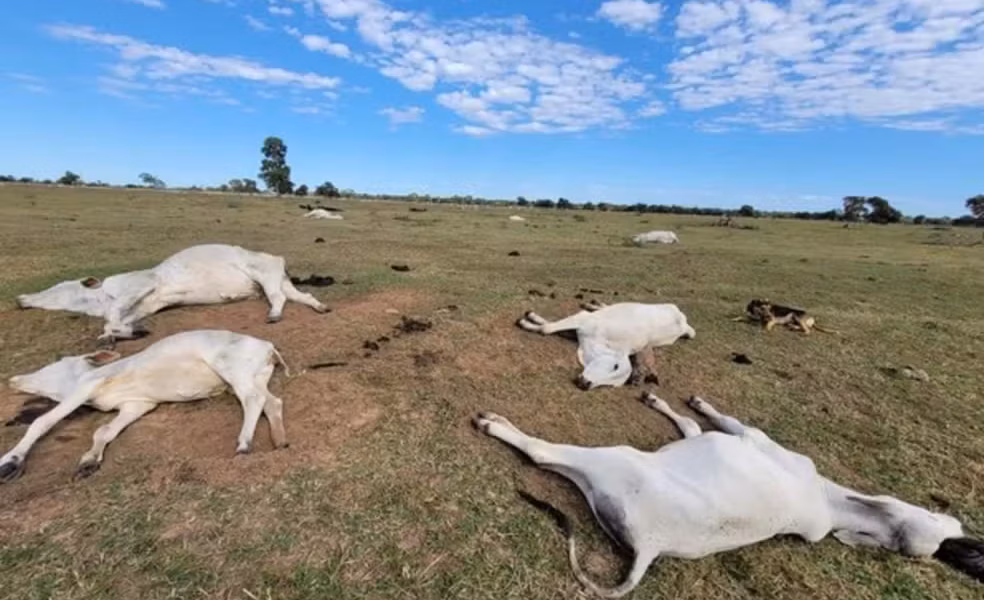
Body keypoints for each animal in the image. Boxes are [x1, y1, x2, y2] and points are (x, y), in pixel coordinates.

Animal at [2, 330, 291, 481]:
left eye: (55, 364)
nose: (14, 380)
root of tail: (267, 346)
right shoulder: (138, 404)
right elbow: (104, 431)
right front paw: (89, 461)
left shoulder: (87, 387)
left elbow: (42, 421)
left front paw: (10, 462)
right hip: (256, 376)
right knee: (271, 401)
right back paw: (279, 440)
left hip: (232, 369)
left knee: (253, 400)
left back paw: (244, 444)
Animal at [15, 244, 328, 343]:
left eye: (57, 288)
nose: (20, 299)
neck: (101, 298)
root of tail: (277, 258)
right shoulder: (145, 305)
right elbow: (119, 322)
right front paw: (125, 333)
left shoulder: (144, 283)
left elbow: (113, 317)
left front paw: (112, 334)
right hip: (278, 280)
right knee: (301, 297)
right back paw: (321, 307)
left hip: (265, 276)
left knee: (278, 298)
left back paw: (274, 315)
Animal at [474, 393, 984, 597]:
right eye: (947, 523)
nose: (968, 544)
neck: (830, 502)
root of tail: (651, 546)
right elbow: (690, 425)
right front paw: (663, 401)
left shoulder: (750, 436)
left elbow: (713, 420)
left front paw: (694, 402)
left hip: (612, 459)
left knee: (541, 453)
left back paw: (495, 423)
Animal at [516, 301, 695, 390]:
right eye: (615, 366)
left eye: (612, 385)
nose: (586, 384)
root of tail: (684, 322)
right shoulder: (583, 319)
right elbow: (547, 328)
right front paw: (527, 320)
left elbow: (548, 326)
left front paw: (531, 320)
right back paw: (593, 304)